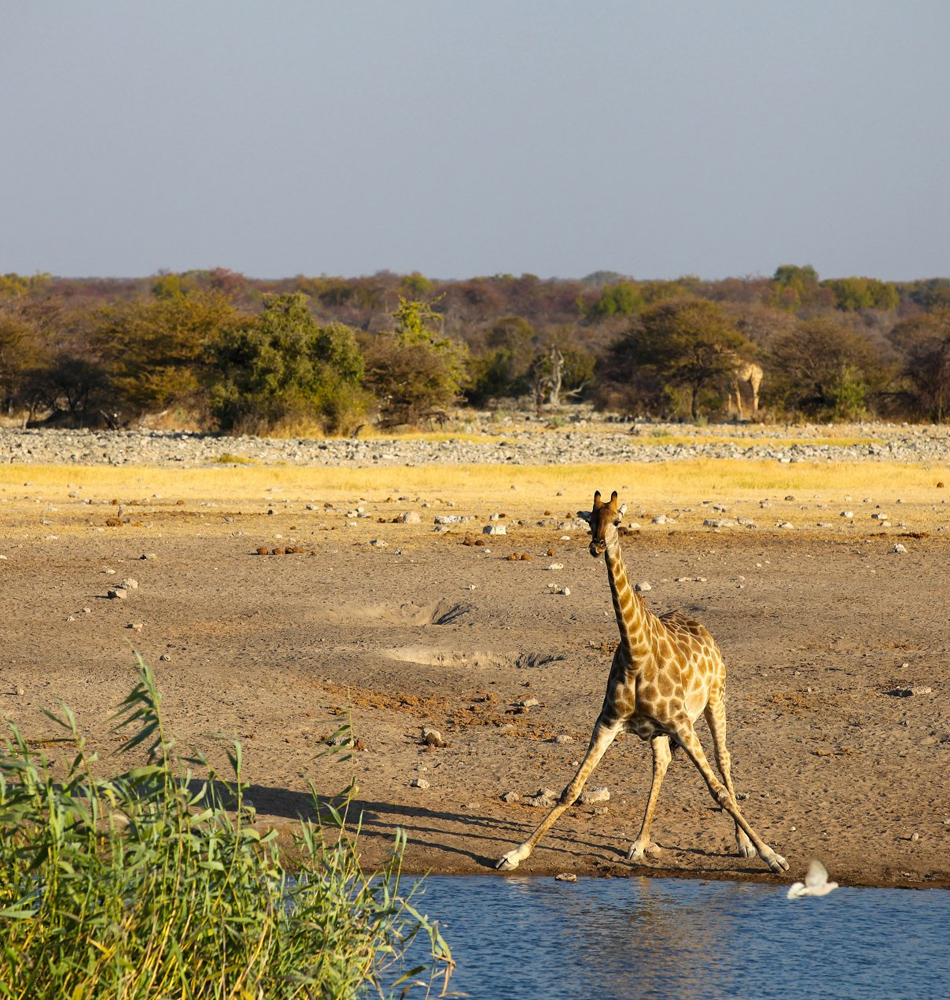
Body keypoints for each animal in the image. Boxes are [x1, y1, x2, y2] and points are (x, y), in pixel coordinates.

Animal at [494, 492, 792, 876]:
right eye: (589, 519)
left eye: (617, 521)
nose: (597, 546)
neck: (636, 653)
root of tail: (704, 630)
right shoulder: (608, 722)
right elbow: (571, 790)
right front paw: (516, 853)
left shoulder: (681, 722)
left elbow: (719, 792)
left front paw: (772, 855)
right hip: (660, 731)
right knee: (662, 763)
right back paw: (639, 842)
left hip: (716, 700)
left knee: (723, 759)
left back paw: (743, 845)